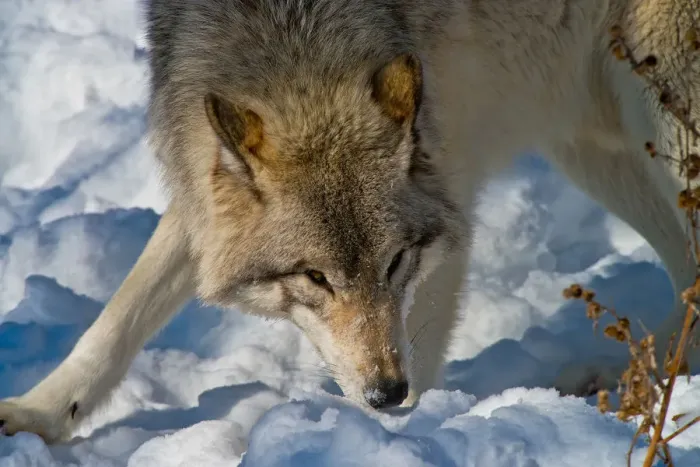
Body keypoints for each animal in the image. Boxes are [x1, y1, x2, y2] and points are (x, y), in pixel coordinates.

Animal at [1, 0, 698, 443]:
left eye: (395, 262)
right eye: (315, 277)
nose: (386, 393)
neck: (298, 46)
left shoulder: (449, 201)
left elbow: (424, 347)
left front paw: (399, 432)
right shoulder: (203, 193)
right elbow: (118, 318)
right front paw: (38, 414)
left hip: (661, 121)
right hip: (595, 145)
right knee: (687, 271)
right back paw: (635, 383)